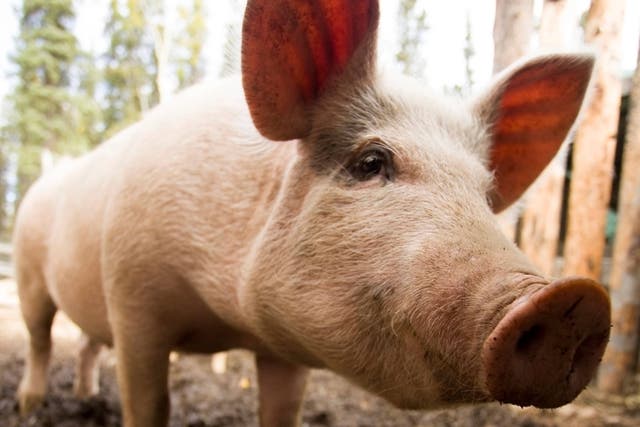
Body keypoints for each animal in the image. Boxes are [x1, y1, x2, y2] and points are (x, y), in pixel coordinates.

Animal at [13, 0, 611, 426]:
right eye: (370, 162)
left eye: (486, 196)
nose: (574, 300)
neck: (225, 320)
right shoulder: (132, 296)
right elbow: (149, 404)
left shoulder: (285, 348)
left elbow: (282, 410)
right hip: (27, 273)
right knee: (41, 339)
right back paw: (29, 406)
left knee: (86, 342)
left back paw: (86, 397)